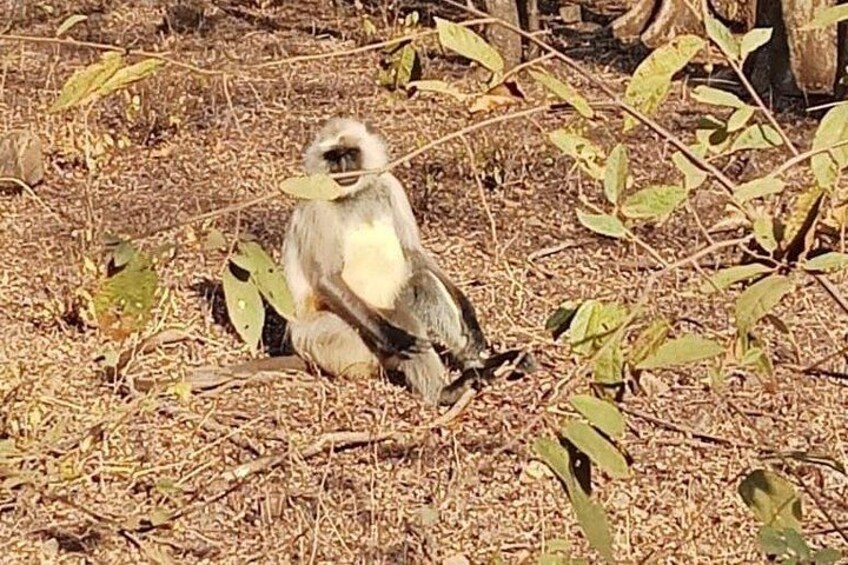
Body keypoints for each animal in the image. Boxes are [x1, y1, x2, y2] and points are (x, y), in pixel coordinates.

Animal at [280, 117, 536, 406]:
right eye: (333, 157)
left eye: (350, 153)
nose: (342, 168)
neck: (354, 196)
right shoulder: (316, 202)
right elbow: (327, 278)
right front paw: (397, 339)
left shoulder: (391, 185)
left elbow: (412, 252)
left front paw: (470, 316)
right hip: (330, 338)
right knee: (406, 322)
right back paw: (444, 392)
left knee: (422, 282)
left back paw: (485, 365)